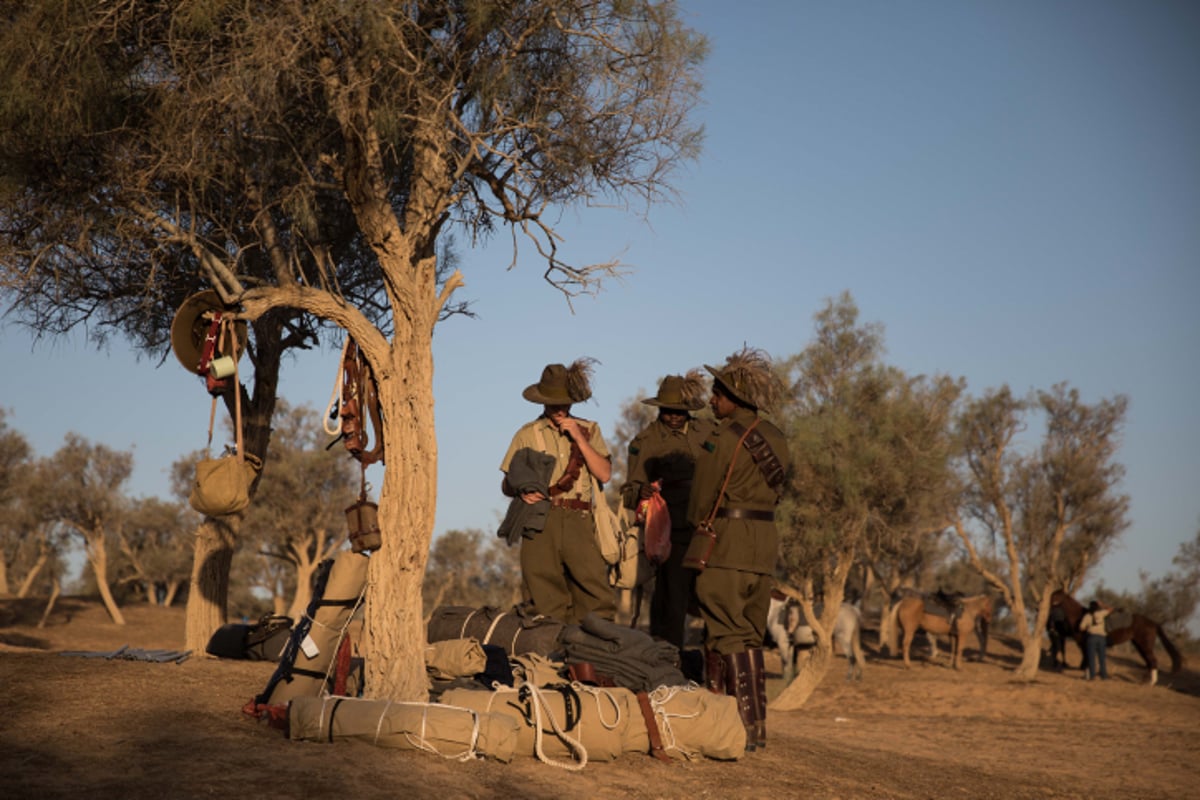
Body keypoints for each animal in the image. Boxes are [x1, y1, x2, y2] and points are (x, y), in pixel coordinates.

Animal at [1051, 587, 1180, 690]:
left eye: (1057, 595)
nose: (1050, 602)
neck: (1081, 617)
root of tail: (1153, 623)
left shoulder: (1084, 644)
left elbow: (1087, 660)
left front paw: (1086, 676)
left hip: (1145, 645)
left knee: (1152, 661)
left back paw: (1151, 683)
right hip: (1140, 645)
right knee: (1149, 662)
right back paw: (1145, 682)